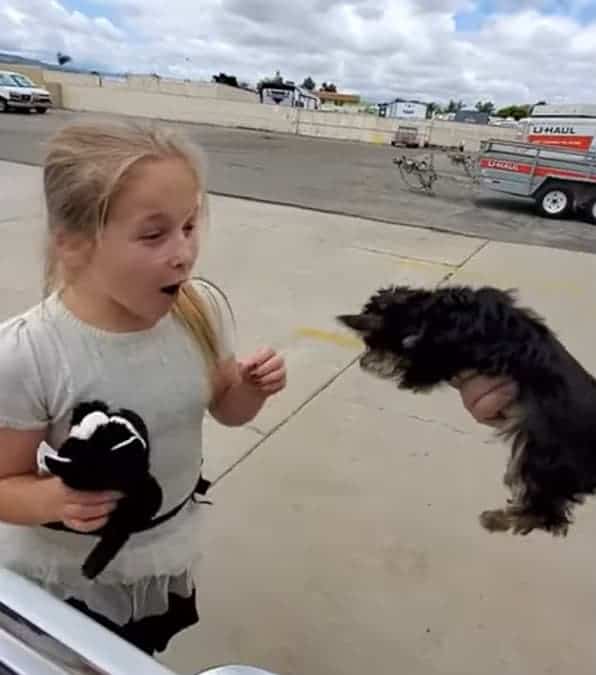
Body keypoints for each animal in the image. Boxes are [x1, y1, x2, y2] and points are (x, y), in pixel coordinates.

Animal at [338, 286, 596, 540]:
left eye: (371, 344)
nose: (363, 362)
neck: (429, 313)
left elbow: (421, 365)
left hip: (540, 457)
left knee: (547, 514)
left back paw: (496, 519)